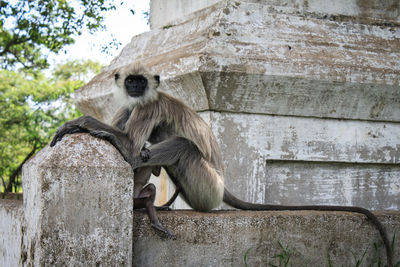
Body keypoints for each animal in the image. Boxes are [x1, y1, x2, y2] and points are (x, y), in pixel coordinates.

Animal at [50, 63, 394, 267]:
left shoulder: (150, 105)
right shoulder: (131, 106)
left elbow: (133, 146)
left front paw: (81, 122)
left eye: (140, 81)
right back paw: (151, 199)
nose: (134, 88)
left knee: (178, 148)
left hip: (207, 187)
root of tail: (223, 184)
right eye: (131, 81)